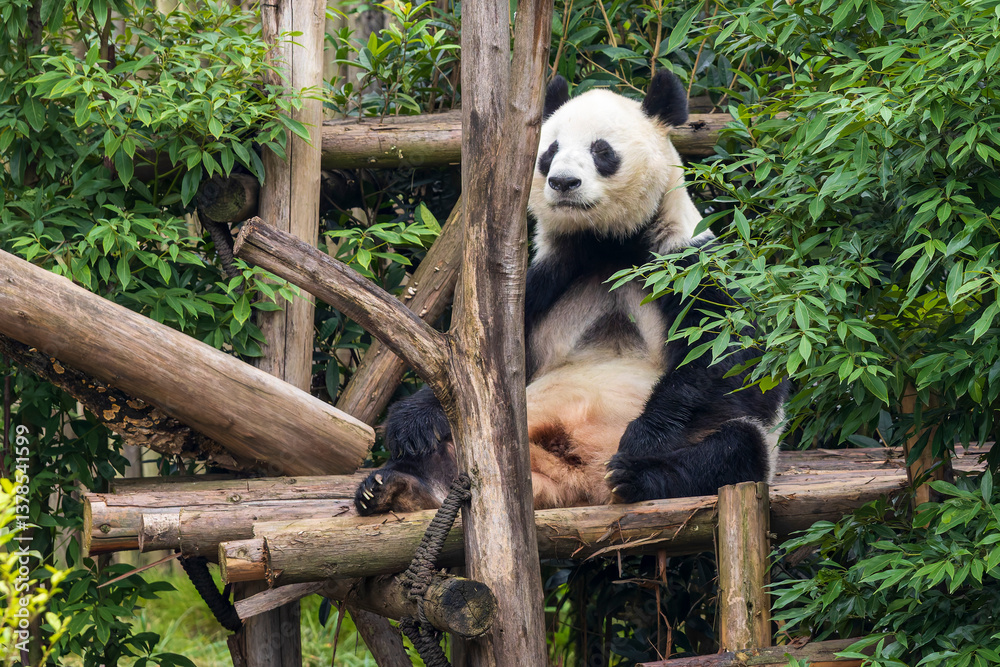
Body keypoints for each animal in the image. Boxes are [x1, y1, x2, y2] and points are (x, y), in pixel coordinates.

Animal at [354, 71, 787, 514]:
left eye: (601, 150)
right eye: (550, 151)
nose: (563, 182)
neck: (609, 242)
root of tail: (582, 483)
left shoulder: (685, 266)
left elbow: (729, 361)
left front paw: (643, 437)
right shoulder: (544, 281)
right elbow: (476, 367)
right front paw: (411, 422)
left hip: (739, 447)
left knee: (734, 448)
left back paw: (637, 477)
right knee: (456, 451)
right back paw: (397, 486)